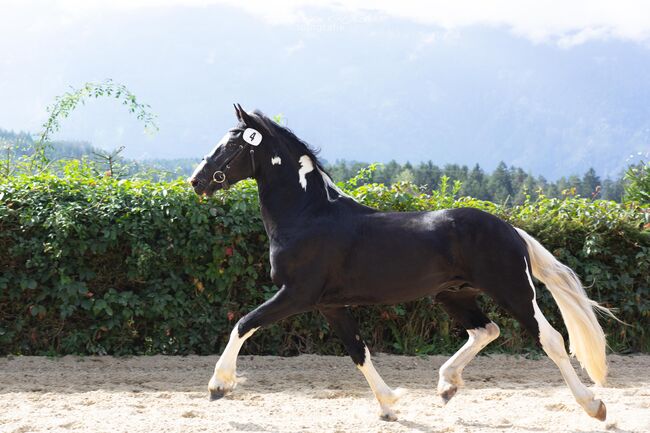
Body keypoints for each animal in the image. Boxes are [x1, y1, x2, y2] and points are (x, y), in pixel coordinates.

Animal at [189, 104, 612, 422]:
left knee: (551, 339)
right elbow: (358, 352)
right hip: (453, 294)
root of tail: (511, 229)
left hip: (514, 291)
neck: (308, 215)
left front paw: (218, 386)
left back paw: (594, 405)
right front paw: (390, 405)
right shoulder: (330, 305)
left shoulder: (296, 294)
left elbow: (244, 324)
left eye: (232, 144)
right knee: (486, 330)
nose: (197, 181)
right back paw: (446, 386)